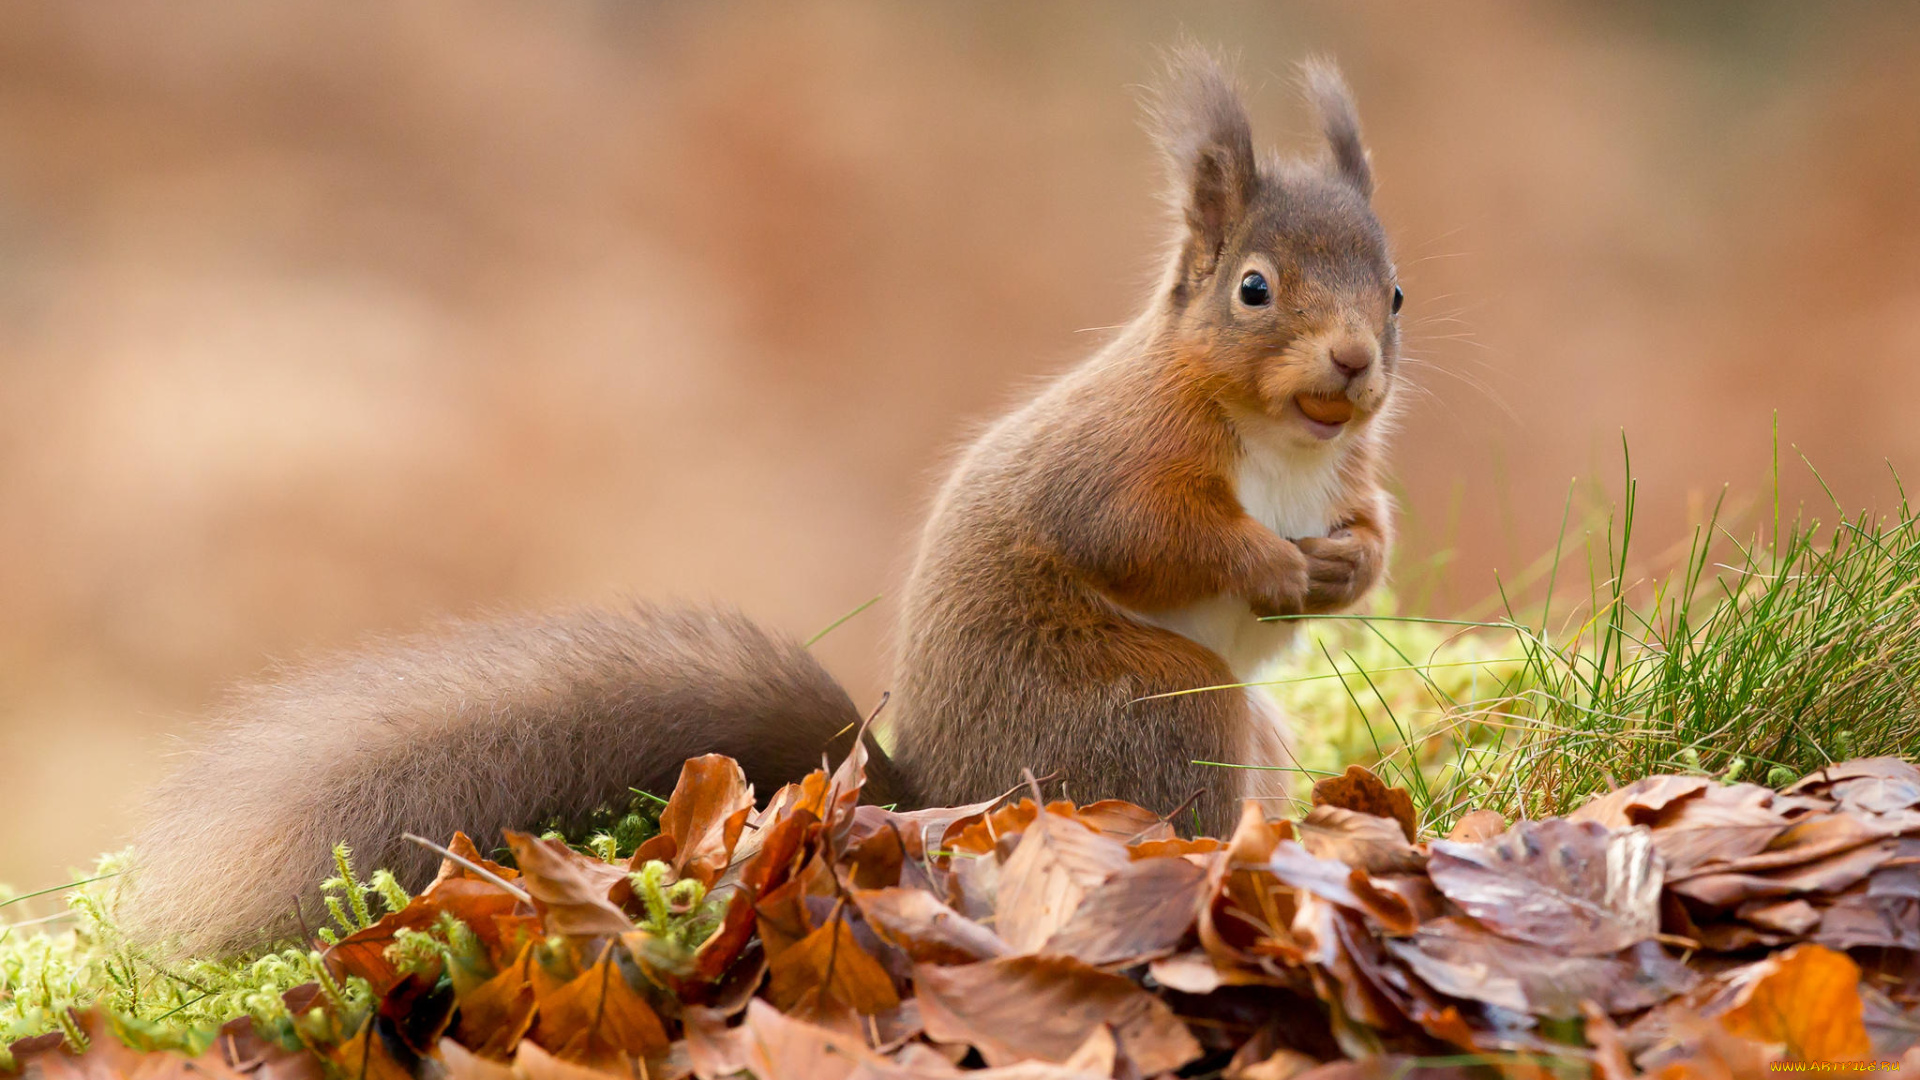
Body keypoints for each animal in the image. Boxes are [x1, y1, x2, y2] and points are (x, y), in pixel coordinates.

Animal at [127, 50, 1405, 949]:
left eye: (1393, 291)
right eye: (1253, 290)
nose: (1355, 366)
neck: (1280, 442)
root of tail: (940, 797)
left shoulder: (1342, 469)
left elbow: (1368, 537)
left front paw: (1350, 561)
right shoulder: (1118, 456)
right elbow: (1144, 530)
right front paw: (1271, 562)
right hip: (1149, 706)